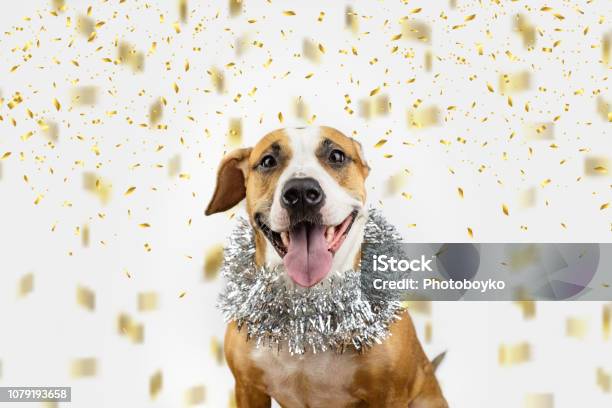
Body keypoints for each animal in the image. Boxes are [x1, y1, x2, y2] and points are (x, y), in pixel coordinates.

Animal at [206, 126, 450, 406]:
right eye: (268, 161)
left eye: (336, 156)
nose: (301, 192)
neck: (309, 313)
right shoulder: (247, 388)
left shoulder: (389, 395)